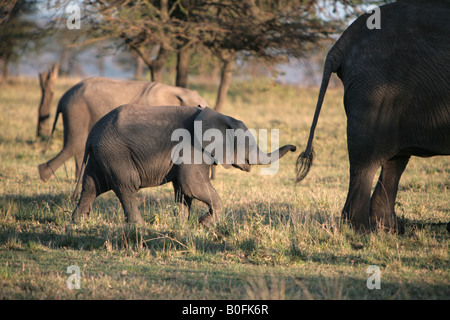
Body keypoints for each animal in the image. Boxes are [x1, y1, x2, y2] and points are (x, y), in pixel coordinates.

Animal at [72, 105, 298, 225]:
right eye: (247, 143)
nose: (296, 148)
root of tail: (92, 135)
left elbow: (184, 191)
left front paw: (182, 225)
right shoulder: (192, 148)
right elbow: (193, 185)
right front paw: (205, 224)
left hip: (102, 155)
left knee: (92, 186)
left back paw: (78, 222)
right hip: (116, 153)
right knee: (127, 186)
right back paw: (140, 226)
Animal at [296, 1, 450, 234]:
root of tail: (341, 43)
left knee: (394, 160)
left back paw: (390, 230)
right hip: (377, 90)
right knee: (367, 160)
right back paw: (363, 230)